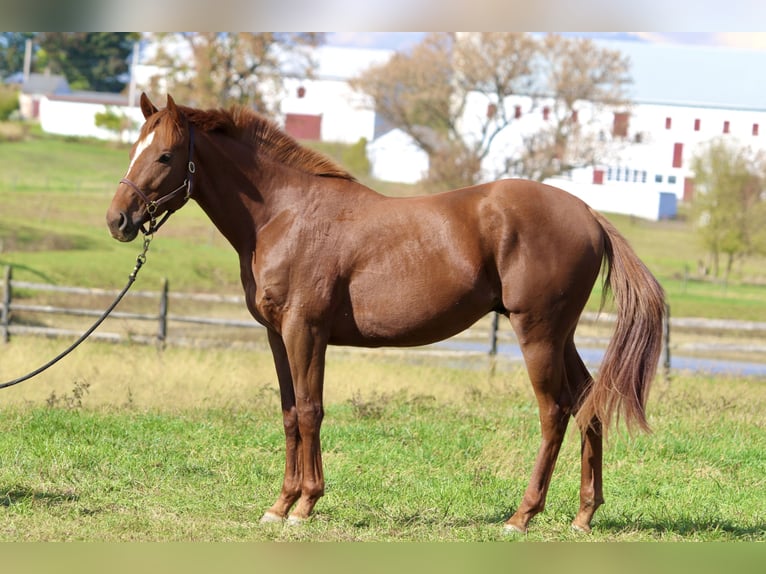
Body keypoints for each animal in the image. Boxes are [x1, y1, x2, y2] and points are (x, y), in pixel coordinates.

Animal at [106, 94, 664, 536]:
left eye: (164, 154)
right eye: (132, 149)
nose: (118, 220)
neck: (285, 215)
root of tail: (588, 213)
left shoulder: (305, 331)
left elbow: (310, 411)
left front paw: (305, 505)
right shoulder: (276, 335)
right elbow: (289, 414)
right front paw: (280, 504)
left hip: (538, 333)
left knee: (555, 411)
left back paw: (521, 516)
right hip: (560, 336)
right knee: (589, 403)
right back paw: (583, 515)